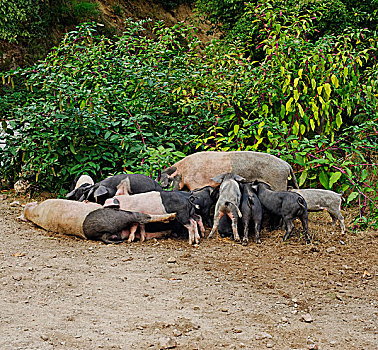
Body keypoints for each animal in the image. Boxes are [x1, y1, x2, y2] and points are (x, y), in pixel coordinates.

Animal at [159, 150, 298, 191]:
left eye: (168, 180)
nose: (161, 186)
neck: (184, 172)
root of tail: (286, 165)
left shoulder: (196, 184)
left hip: (278, 181)